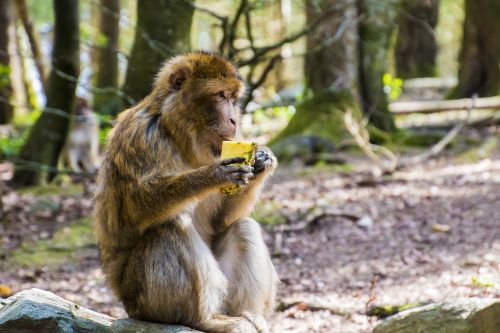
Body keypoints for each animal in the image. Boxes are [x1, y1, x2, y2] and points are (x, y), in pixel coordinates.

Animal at [94, 52, 280, 332]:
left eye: (233, 98)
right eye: (220, 95)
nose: (234, 119)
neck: (179, 135)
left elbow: (222, 221)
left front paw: (262, 160)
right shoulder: (141, 137)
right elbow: (134, 210)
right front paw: (213, 175)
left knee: (243, 227)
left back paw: (250, 315)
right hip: (144, 301)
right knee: (170, 226)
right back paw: (204, 319)